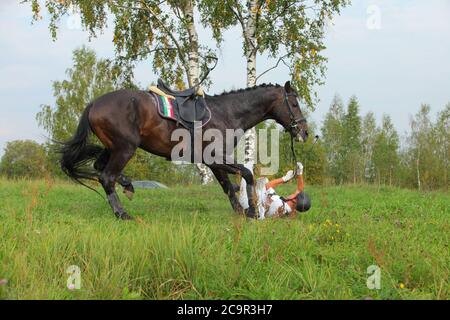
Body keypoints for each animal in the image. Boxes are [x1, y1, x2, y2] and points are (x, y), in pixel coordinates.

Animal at [59, 81, 310, 220]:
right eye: (294, 104)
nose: (305, 132)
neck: (227, 113)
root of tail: (94, 104)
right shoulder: (216, 158)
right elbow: (246, 174)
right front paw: (251, 211)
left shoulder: (213, 163)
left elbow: (228, 187)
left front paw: (240, 211)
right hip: (125, 148)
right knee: (106, 176)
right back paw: (122, 213)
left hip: (113, 147)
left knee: (100, 167)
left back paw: (127, 184)